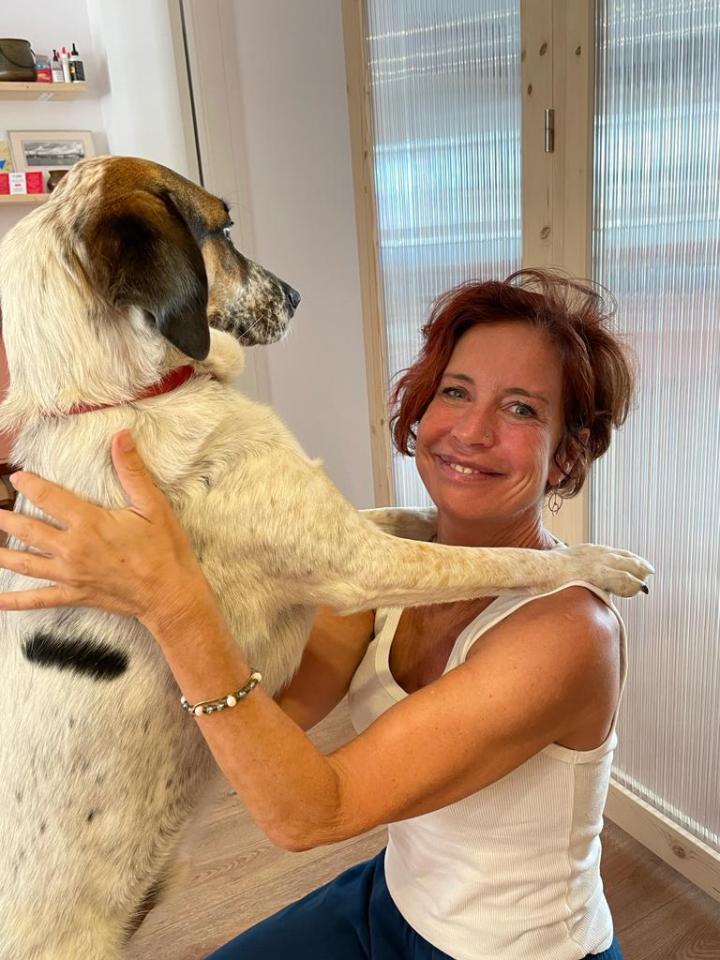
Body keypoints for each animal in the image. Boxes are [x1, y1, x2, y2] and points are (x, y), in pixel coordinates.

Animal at [0, 154, 652, 956]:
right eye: (222, 228)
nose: (297, 295)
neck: (122, 394)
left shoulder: (345, 530)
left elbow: (417, 514)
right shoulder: (359, 565)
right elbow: (508, 559)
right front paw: (602, 562)